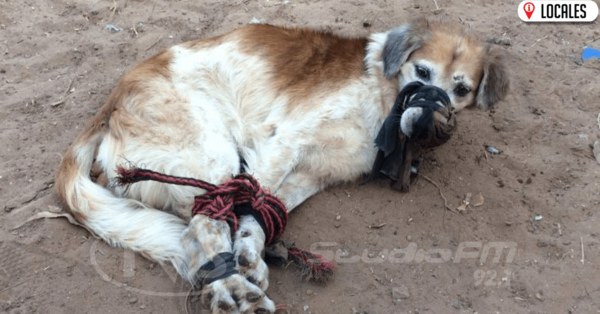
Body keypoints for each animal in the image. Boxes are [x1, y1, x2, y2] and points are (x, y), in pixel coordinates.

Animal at [55, 19, 506, 314]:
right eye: (422, 71)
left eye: (461, 89)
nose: (428, 124)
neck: (381, 94)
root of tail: (109, 105)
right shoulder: (285, 141)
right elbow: (246, 203)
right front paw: (243, 262)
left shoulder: (312, 173)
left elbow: (260, 211)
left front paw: (251, 252)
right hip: (212, 152)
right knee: (202, 224)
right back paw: (229, 289)